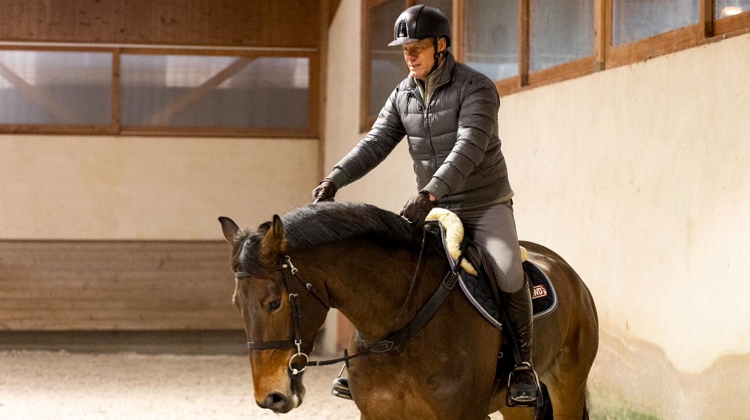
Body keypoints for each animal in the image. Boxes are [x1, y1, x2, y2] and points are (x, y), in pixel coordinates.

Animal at [217, 202, 600, 418]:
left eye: (274, 303)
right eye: (236, 304)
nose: (270, 396)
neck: (399, 329)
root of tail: (568, 272)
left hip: (567, 386)